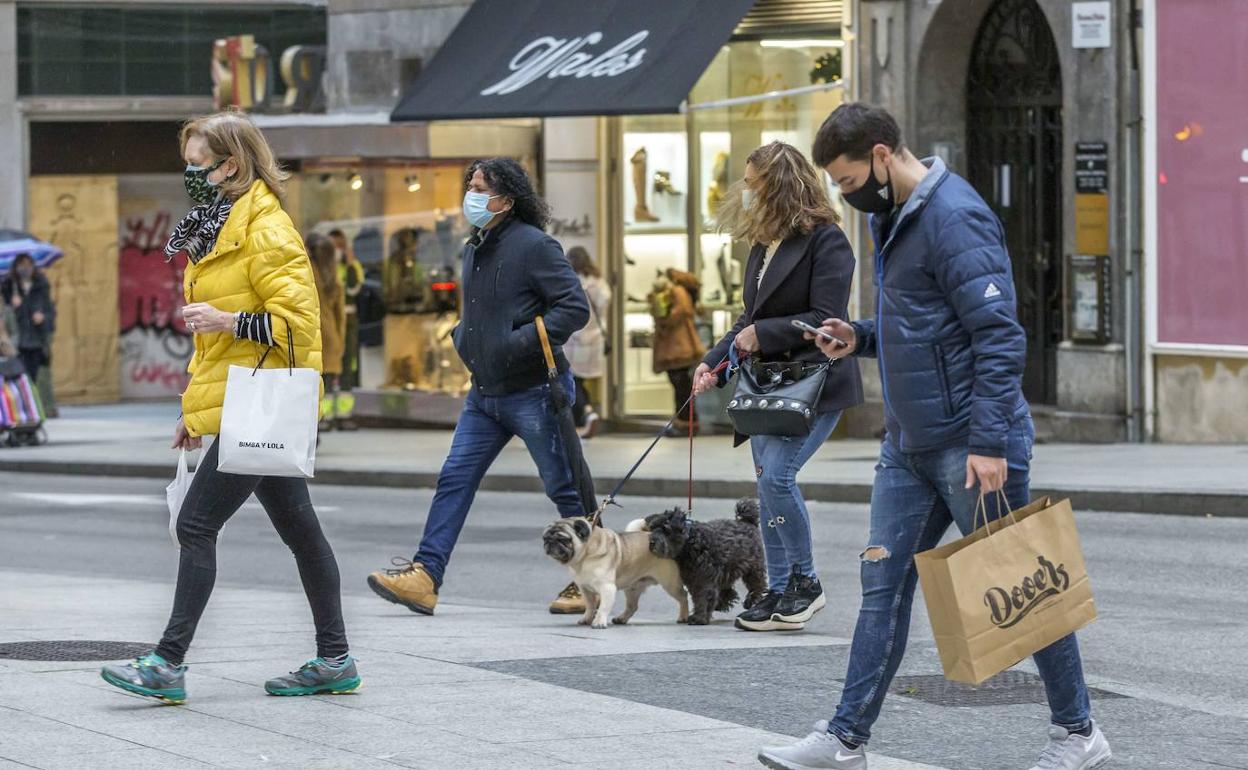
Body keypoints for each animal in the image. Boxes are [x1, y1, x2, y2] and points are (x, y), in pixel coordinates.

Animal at [541, 514, 688, 626]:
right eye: (545, 538)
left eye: (562, 539)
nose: (549, 542)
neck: (584, 557)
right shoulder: (585, 589)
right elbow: (590, 606)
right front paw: (587, 619)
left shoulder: (607, 588)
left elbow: (603, 608)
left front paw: (599, 622)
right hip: (632, 588)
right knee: (632, 606)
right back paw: (621, 619)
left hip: (670, 584)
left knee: (683, 597)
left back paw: (683, 617)